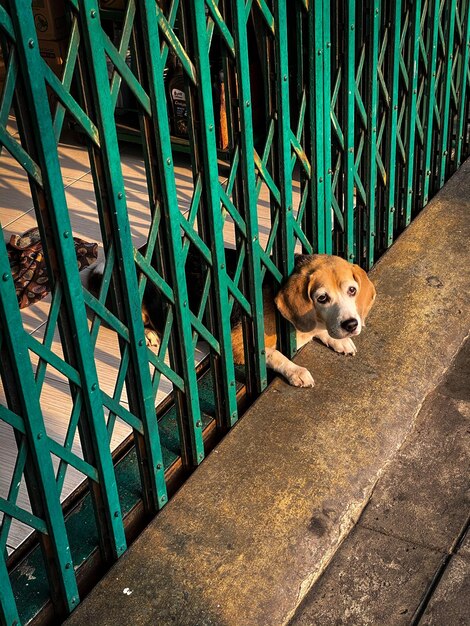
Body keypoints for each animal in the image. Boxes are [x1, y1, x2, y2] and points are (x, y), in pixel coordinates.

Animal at [87, 249, 374, 386]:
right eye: (322, 298)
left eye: (352, 290)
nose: (351, 324)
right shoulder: (242, 346)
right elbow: (276, 355)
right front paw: (296, 371)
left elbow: (321, 332)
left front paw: (338, 340)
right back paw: (148, 334)